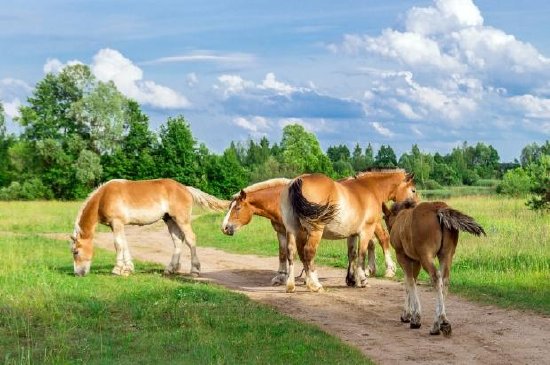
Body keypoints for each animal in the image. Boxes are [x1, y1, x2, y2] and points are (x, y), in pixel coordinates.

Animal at [71, 178, 231, 276]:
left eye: (76, 252)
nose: (78, 273)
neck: (103, 197)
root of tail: (185, 188)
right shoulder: (117, 225)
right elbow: (124, 244)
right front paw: (128, 269)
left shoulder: (117, 223)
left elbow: (118, 244)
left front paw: (117, 269)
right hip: (170, 220)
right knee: (177, 241)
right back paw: (170, 269)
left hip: (182, 220)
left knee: (191, 239)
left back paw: (194, 270)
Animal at [222, 178, 398, 286]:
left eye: (237, 208)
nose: (224, 227)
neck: (278, 200)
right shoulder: (281, 231)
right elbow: (283, 253)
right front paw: (282, 277)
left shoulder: (298, 232)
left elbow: (300, 253)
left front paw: (306, 279)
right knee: (370, 244)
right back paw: (368, 271)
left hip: (371, 225)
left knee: (382, 239)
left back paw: (387, 270)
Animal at [280, 169, 418, 292]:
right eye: (413, 190)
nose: (415, 207)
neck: (370, 189)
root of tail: (297, 181)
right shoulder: (366, 231)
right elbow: (362, 254)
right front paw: (363, 280)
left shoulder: (352, 234)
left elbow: (352, 254)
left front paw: (352, 279)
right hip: (314, 231)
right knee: (308, 253)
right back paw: (315, 284)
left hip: (292, 230)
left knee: (292, 253)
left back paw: (291, 286)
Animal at [384, 199, 488, 336]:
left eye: (384, 218)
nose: (388, 231)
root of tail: (438, 209)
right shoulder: (416, 260)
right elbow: (411, 281)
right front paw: (409, 315)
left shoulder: (402, 255)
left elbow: (409, 282)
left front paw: (413, 317)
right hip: (446, 254)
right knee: (445, 279)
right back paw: (444, 321)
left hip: (426, 255)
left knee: (436, 277)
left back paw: (436, 325)